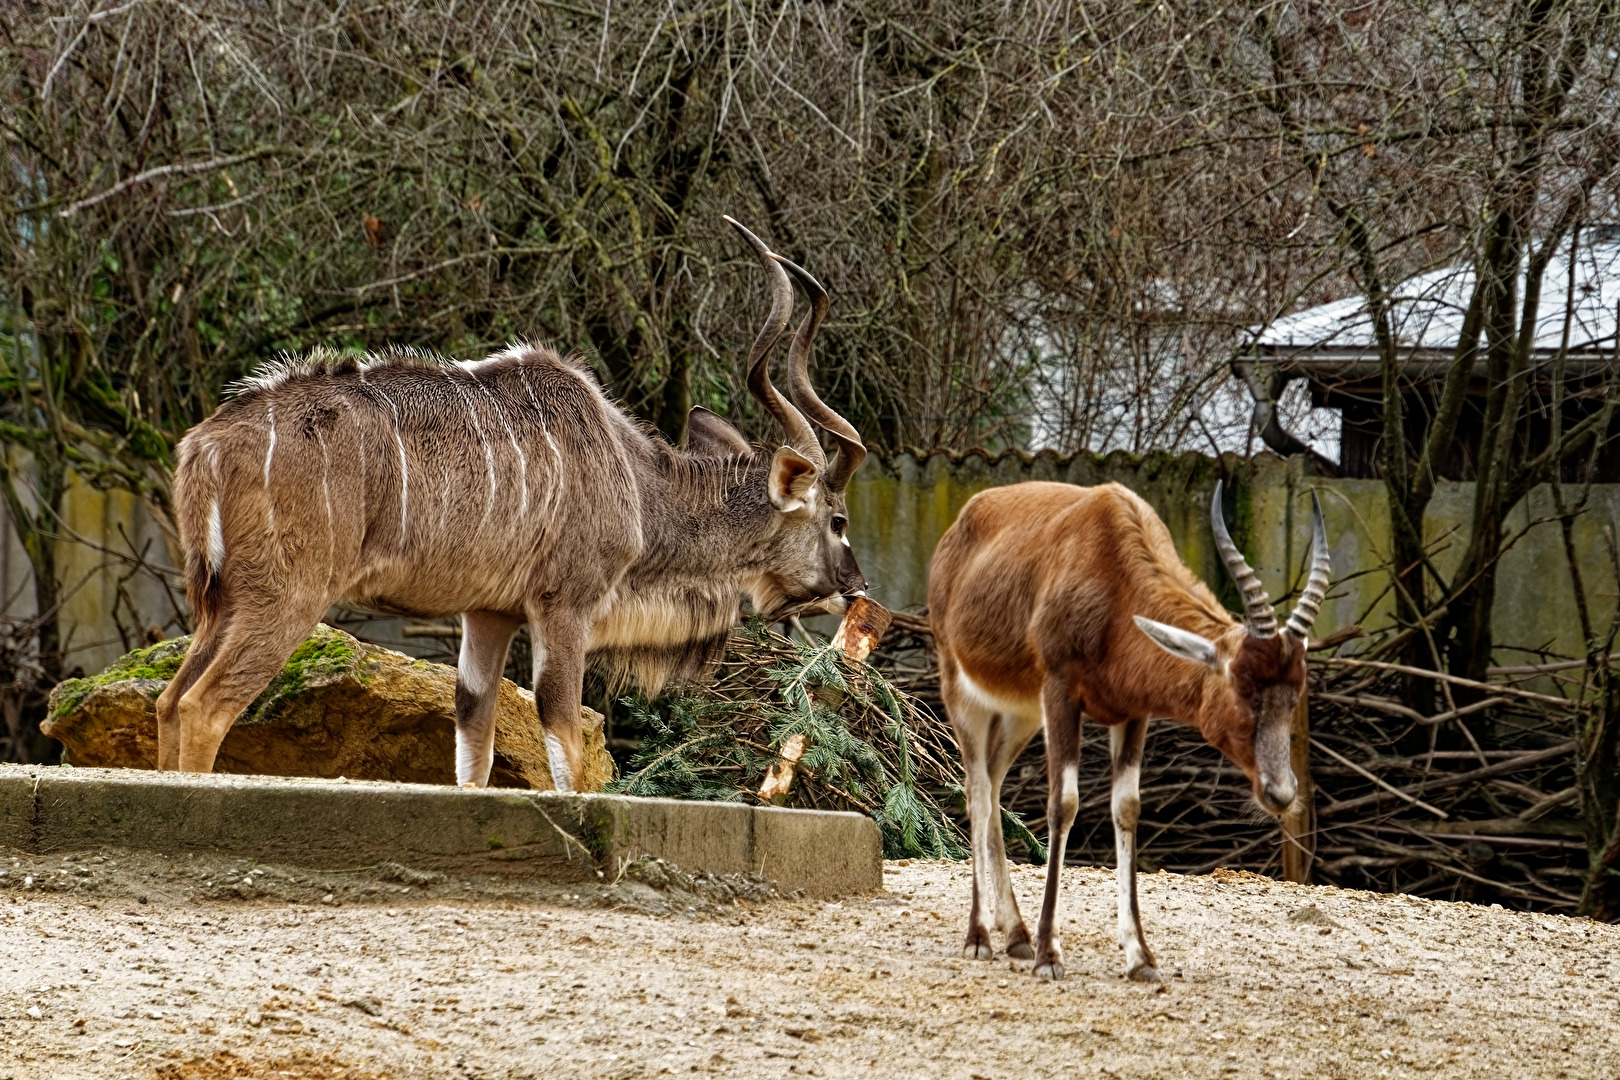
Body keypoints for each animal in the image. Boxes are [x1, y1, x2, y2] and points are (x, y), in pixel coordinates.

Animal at [157, 221, 868, 793]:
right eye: (838, 519)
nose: (856, 589)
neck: (638, 485)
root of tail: (206, 446)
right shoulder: (565, 605)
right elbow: (564, 737)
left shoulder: (489, 614)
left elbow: (474, 738)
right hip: (287, 599)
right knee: (203, 707)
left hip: (223, 603)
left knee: (168, 702)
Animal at [926, 482, 1328, 977]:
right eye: (1245, 687)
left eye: (1294, 695)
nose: (1282, 793)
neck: (1109, 560)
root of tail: (963, 520)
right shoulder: (1061, 692)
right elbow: (1064, 803)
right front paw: (1049, 956)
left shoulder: (1134, 713)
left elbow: (1128, 808)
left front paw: (1140, 955)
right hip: (965, 694)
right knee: (979, 792)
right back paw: (980, 937)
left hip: (1022, 712)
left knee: (995, 782)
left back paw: (1015, 934)